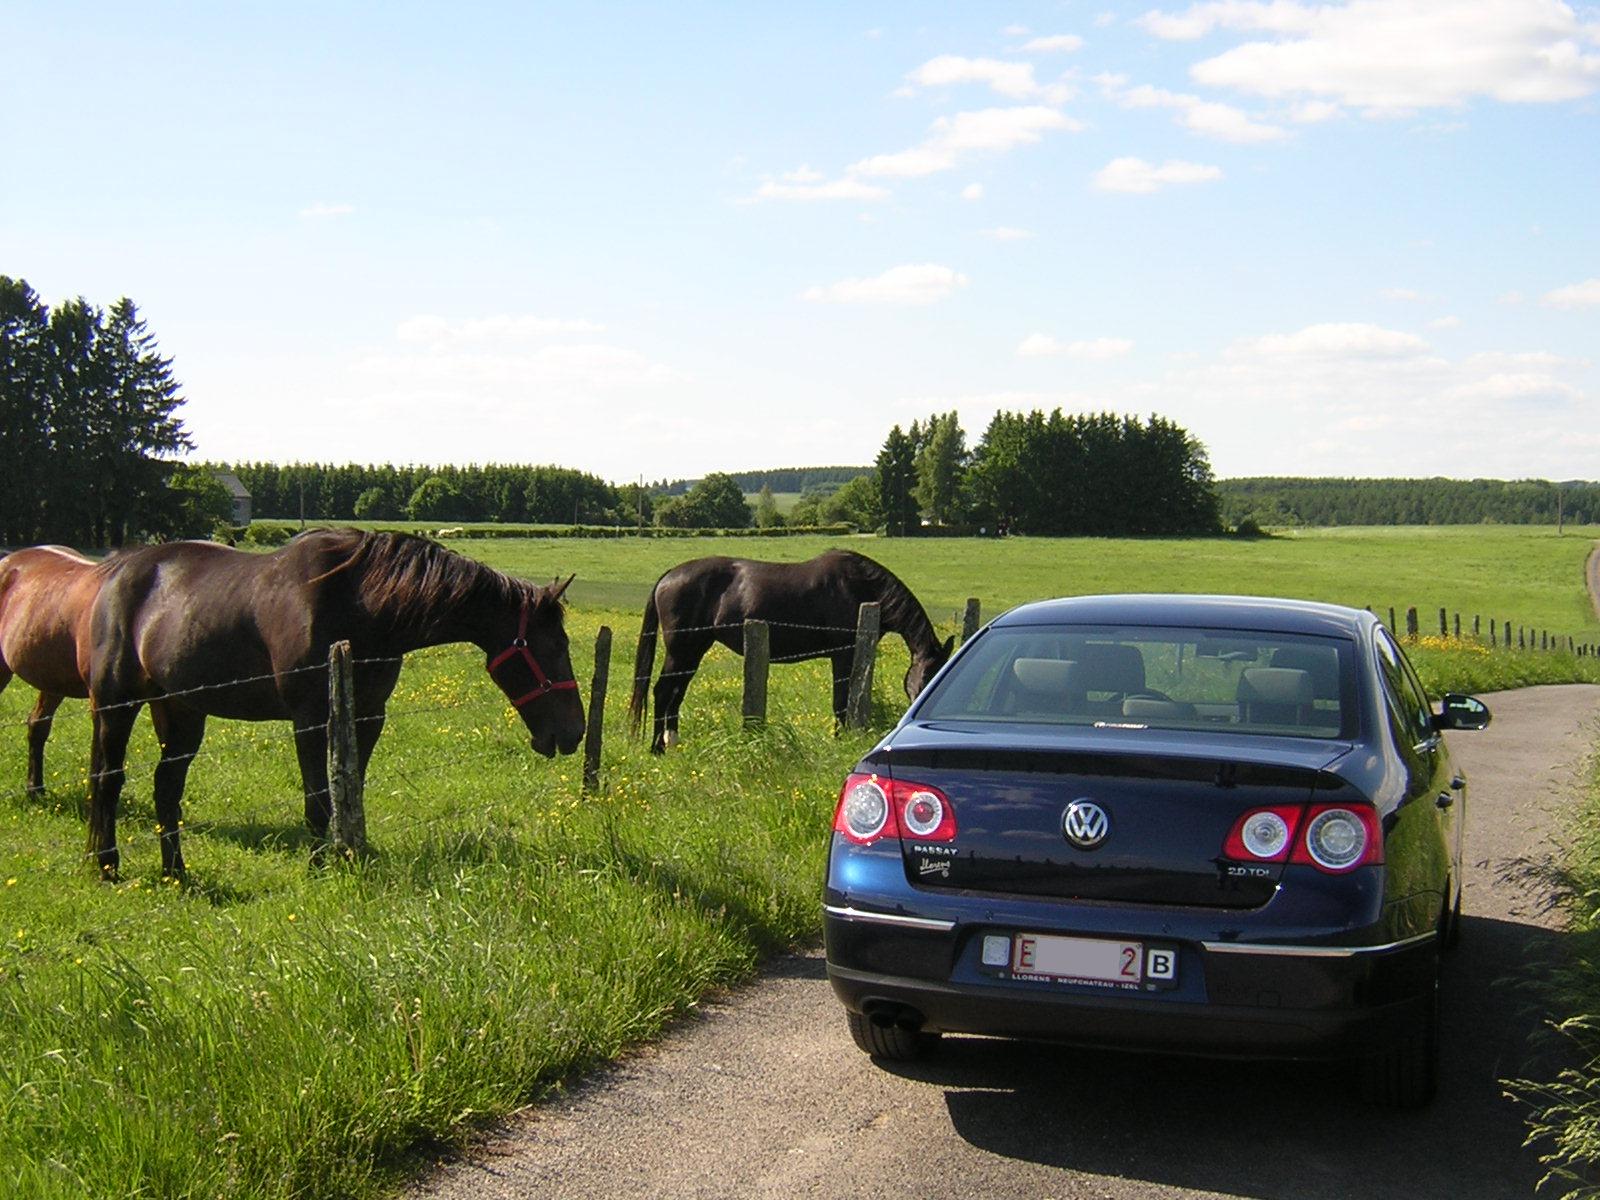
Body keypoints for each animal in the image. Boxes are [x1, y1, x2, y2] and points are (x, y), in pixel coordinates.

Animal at [81, 531, 582, 876]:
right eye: (555, 646)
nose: (573, 732)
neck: (362, 605)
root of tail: (118, 571)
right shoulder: (309, 718)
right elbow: (319, 798)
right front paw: (319, 865)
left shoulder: (369, 714)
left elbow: (351, 787)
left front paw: (351, 852)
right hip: (116, 705)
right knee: (108, 780)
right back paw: (107, 866)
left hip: (181, 710)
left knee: (166, 787)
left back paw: (176, 872)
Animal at [624, 553, 947, 755]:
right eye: (928, 677)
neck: (861, 587)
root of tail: (669, 576)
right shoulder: (843, 654)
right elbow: (840, 702)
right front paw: (840, 739)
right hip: (682, 650)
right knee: (663, 691)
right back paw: (657, 748)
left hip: (693, 651)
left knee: (676, 693)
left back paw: (672, 742)